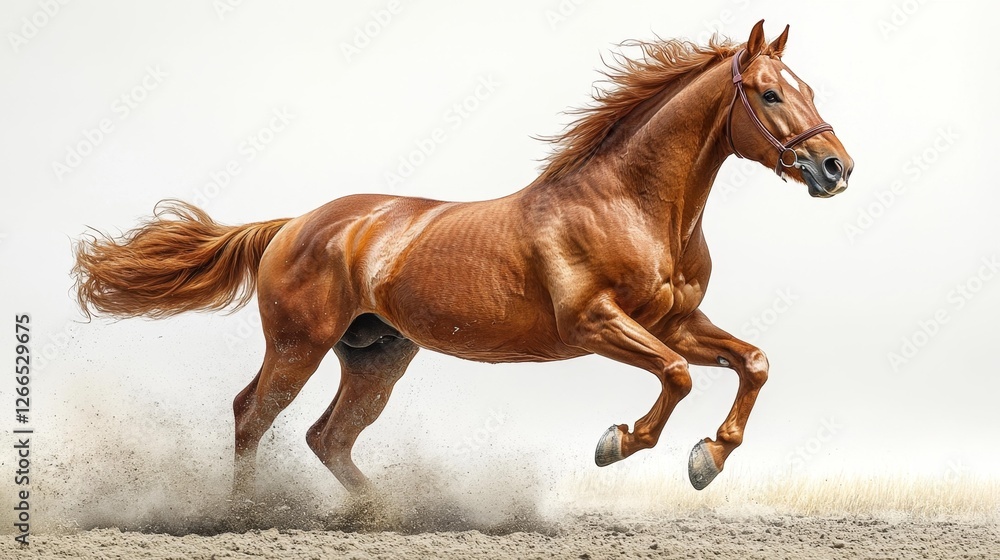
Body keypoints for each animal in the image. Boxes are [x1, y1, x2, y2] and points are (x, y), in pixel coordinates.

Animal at [72, 20, 853, 501]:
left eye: (810, 89)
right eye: (770, 93)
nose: (836, 168)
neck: (630, 206)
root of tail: (294, 225)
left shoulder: (679, 321)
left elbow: (752, 362)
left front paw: (707, 458)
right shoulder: (595, 323)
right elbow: (679, 375)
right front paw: (620, 443)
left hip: (378, 356)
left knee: (328, 436)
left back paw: (382, 514)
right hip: (299, 343)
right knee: (251, 414)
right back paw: (244, 515)